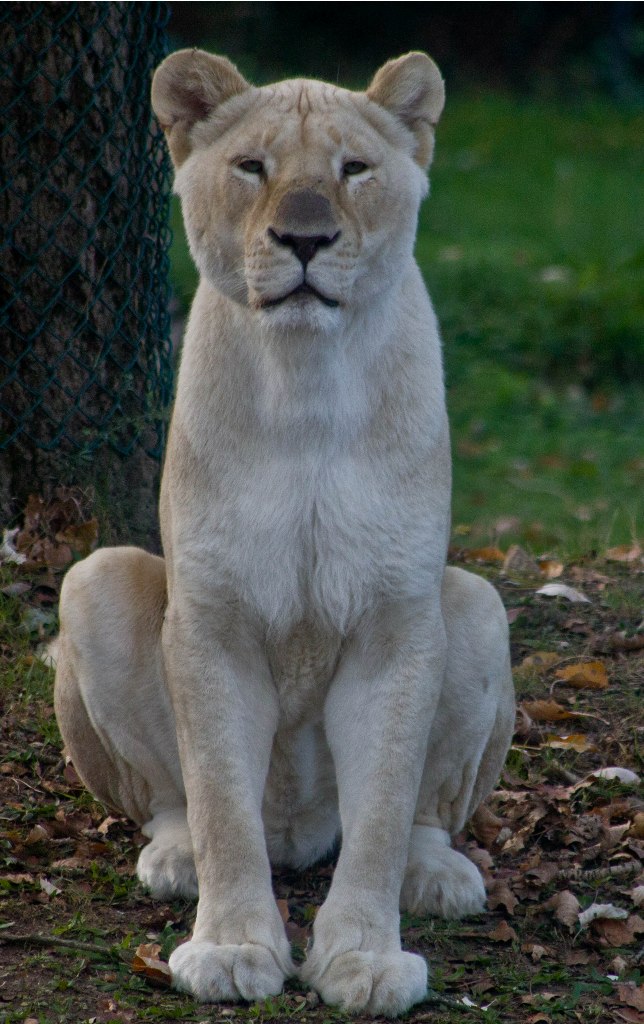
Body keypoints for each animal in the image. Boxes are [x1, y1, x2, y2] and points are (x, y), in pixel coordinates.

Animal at [53, 50, 515, 1016]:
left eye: (354, 169)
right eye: (252, 167)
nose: (307, 240)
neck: (305, 383)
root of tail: (299, 836)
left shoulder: (396, 622)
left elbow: (382, 808)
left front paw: (365, 959)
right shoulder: (213, 620)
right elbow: (222, 800)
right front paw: (232, 946)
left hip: (476, 603)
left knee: (419, 815)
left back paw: (438, 875)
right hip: (93, 577)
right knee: (178, 801)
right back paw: (176, 858)